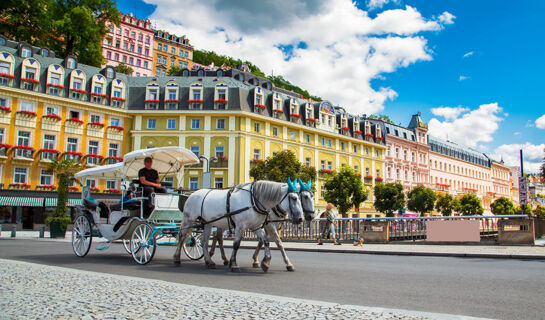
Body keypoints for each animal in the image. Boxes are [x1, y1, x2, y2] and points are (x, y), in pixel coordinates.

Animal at [173, 180, 304, 272]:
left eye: (300, 198)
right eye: (294, 198)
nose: (301, 218)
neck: (253, 200)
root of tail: (192, 194)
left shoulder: (256, 226)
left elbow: (266, 241)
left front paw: (266, 262)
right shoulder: (240, 226)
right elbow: (236, 244)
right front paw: (234, 264)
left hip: (207, 223)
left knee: (204, 241)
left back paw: (209, 261)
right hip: (189, 219)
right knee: (182, 236)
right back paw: (177, 258)